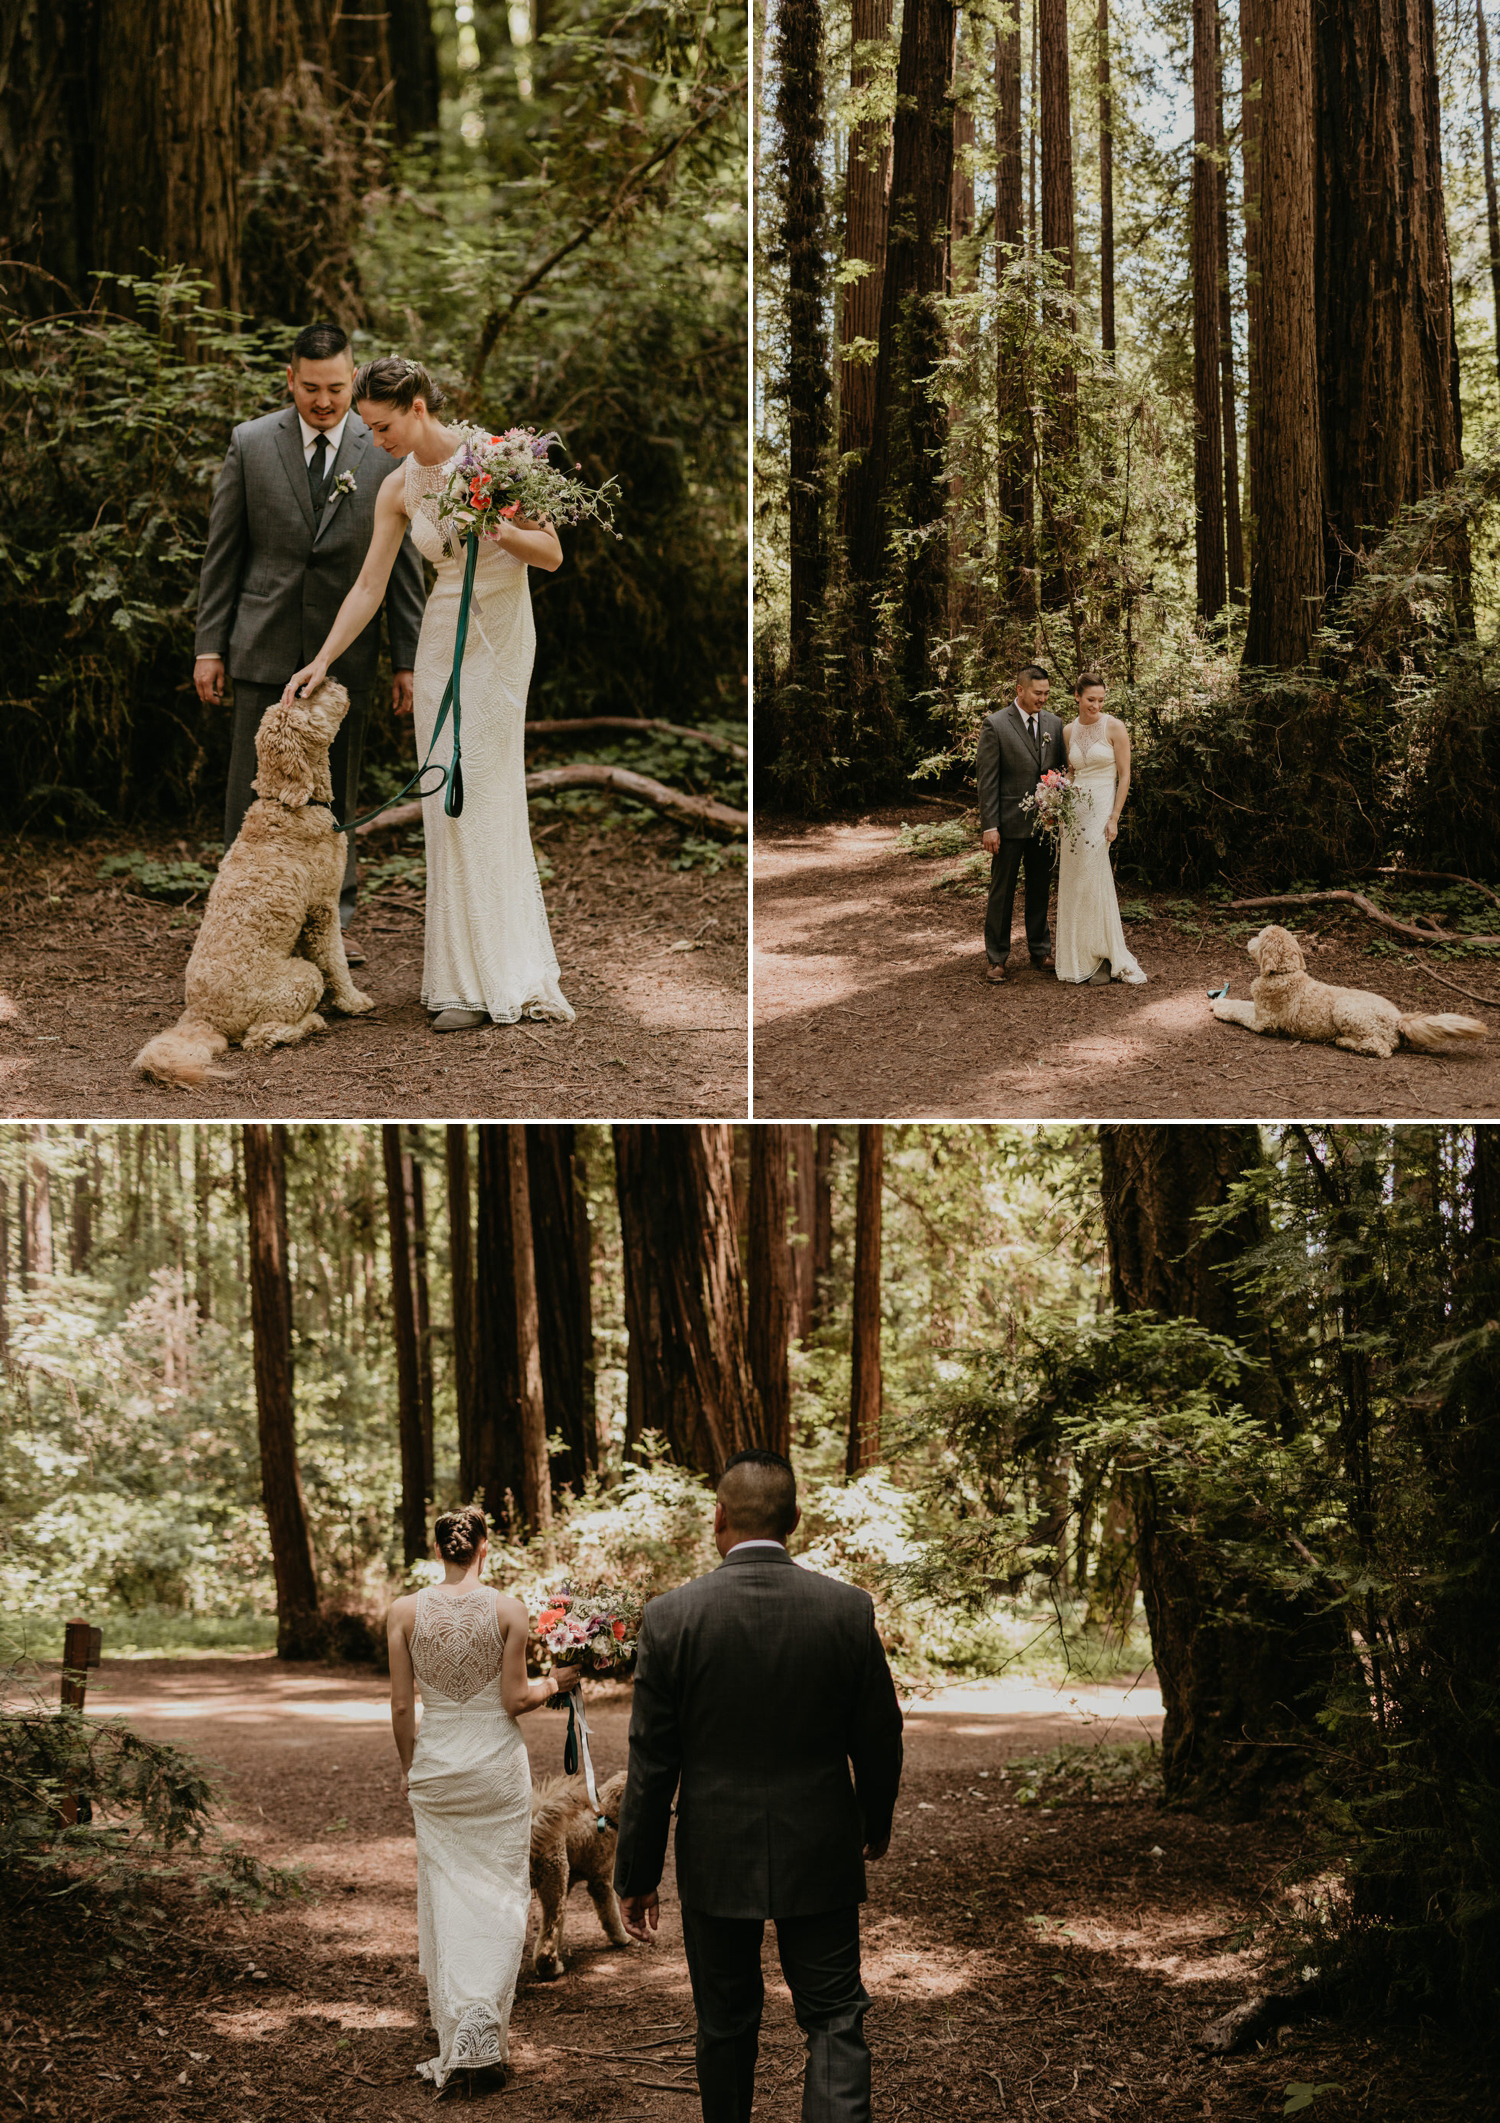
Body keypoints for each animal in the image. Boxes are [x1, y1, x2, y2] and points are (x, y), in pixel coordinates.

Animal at [134, 679, 375, 1086]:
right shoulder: (322, 908)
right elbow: (335, 962)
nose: (328, 679)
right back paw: (310, 1023)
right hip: (299, 979)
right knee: (259, 1036)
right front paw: (352, 1000)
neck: (287, 804)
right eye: (304, 699)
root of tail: (201, 1018)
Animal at [530, 1766, 632, 1978]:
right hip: (554, 1880)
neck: (604, 1816)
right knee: (550, 1930)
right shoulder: (600, 1881)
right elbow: (611, 1914)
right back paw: (550, 1968)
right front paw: (622, 1938)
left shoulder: (570, 1883)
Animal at [1205, 925, 1493, 1061]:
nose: (1248, 941)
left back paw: (1346, 1043)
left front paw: (1219, 1005)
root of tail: (1399, 1019)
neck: (1285, 973)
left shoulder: (1263, 1021)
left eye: (1259, 937)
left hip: (1345, 1010)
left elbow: (1237, 1009)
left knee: (1381, 1049)